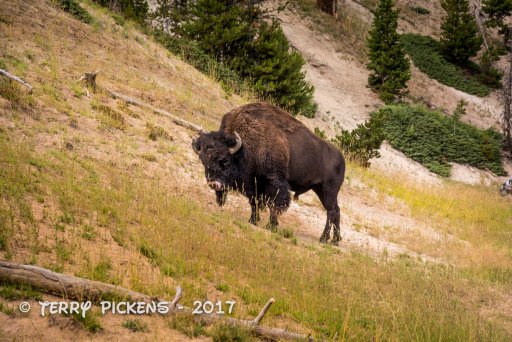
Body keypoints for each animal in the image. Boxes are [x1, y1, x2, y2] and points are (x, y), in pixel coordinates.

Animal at [191, 103, 344, 244]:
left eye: (225, 160)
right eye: (203, 161)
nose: (213, 183)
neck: (244, 148)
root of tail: (341, 159)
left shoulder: (274, 182)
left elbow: (274, 204)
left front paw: (271, 226)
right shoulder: (254, 184)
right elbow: (254, 202)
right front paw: (253, 220)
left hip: (328, 190)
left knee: (331, 212)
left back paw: (323, 239)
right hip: (320, 190)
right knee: (336, 211)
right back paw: (335, 241)